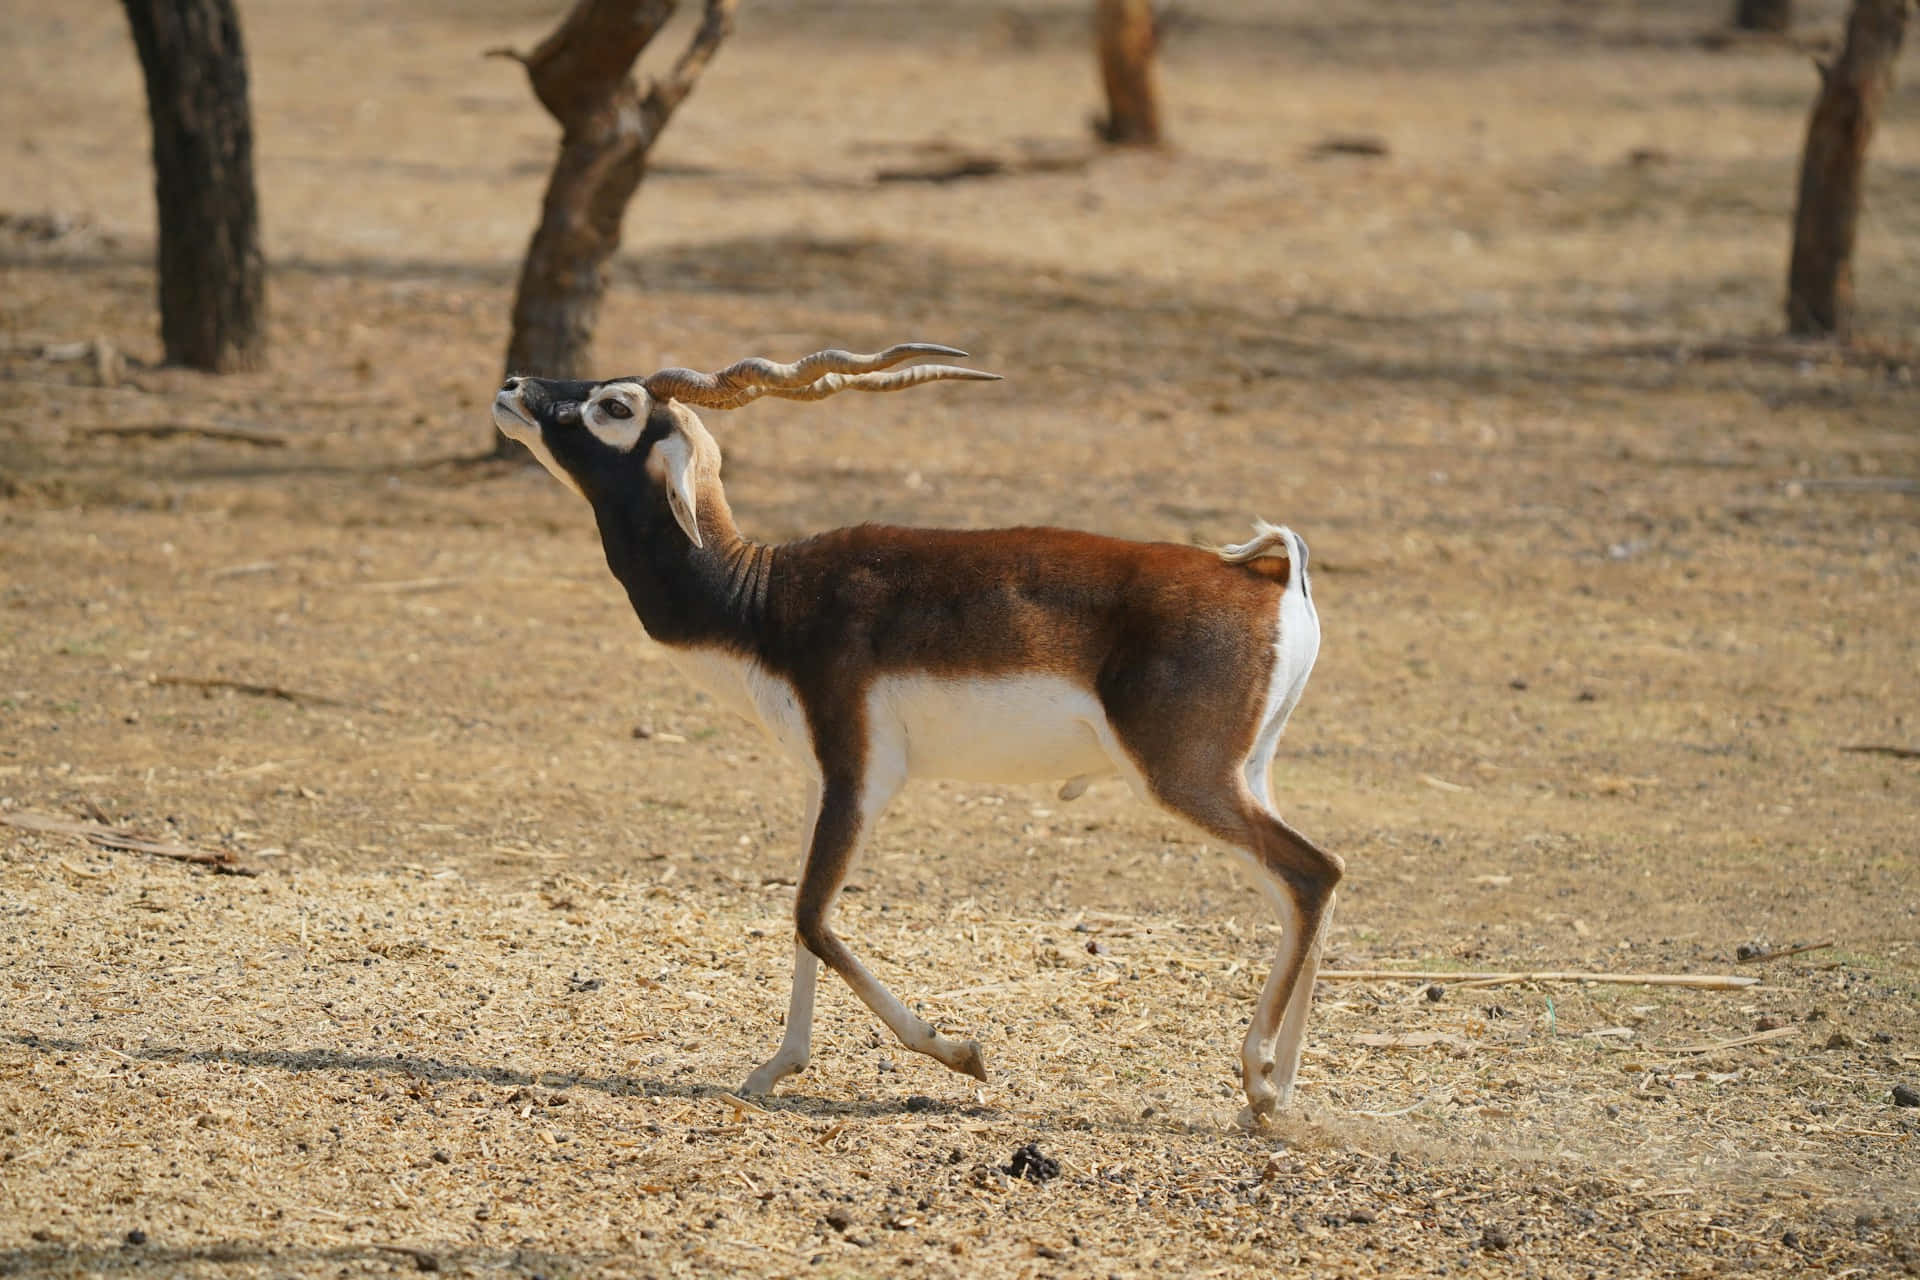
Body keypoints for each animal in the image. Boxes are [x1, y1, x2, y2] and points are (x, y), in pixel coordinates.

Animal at [487, 343, 1344, 1120]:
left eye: (616, 405)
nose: (515, 387)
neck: (764, 600)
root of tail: (1271, 582)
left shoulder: (864, 773)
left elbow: (811, 916)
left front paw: (959, 1052)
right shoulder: (822, 778)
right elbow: (798, 919)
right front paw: (776, 1068)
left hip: (1182, 776)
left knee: (1313, 871)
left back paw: (1259, 1082)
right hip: (1245, 773)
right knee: (1302, 892)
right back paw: (1278, 1095)